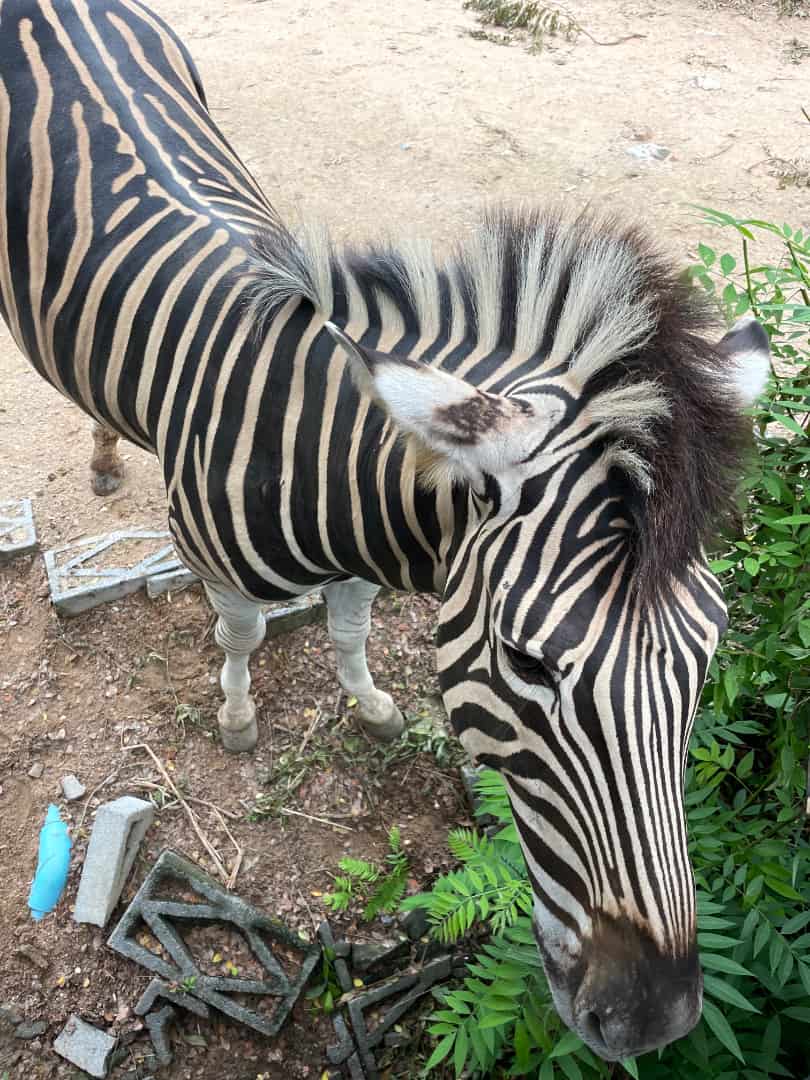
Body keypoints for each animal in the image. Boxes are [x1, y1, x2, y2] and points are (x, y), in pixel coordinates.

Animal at [1, 0, 773, 1062]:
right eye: (527, 664)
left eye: (707, 652)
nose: (654, 1018)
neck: (323, 456)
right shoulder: (220, 563)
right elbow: (243, 633)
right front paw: (238, 716)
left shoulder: (365, 561)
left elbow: (348, 627)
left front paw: (368, 701)